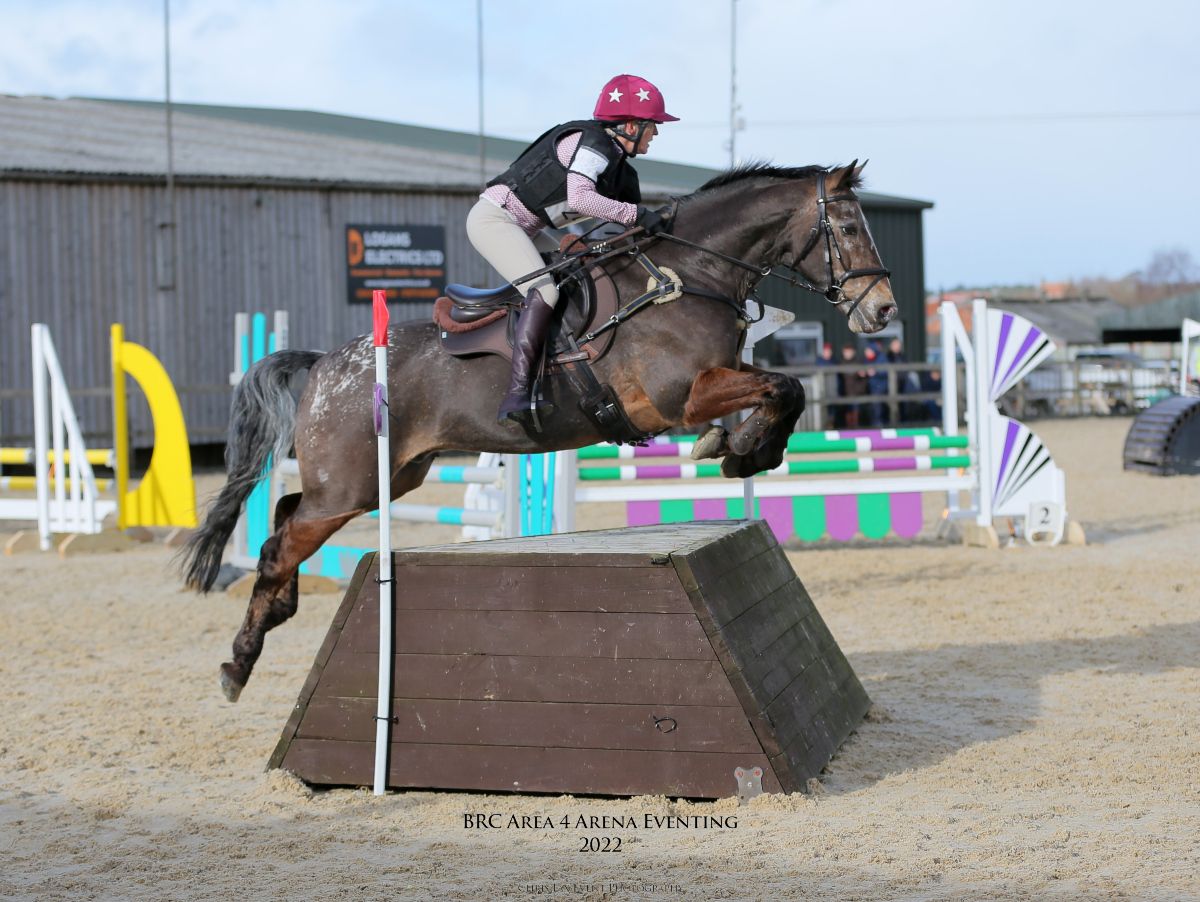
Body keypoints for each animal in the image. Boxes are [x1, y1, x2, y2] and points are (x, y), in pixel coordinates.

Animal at [184, 161, 902, 700]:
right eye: (844, 225)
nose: (884, 311)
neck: (686, 276)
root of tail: (326, 363)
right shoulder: (681, 397)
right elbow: (782, 388)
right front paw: (742, 451)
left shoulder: (721, 374)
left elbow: (782, 388)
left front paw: (741, 449)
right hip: (351, 486)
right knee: (278, 544)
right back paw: (237, 664)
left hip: (383, 478)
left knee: (284, 513)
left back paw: (268, 624)